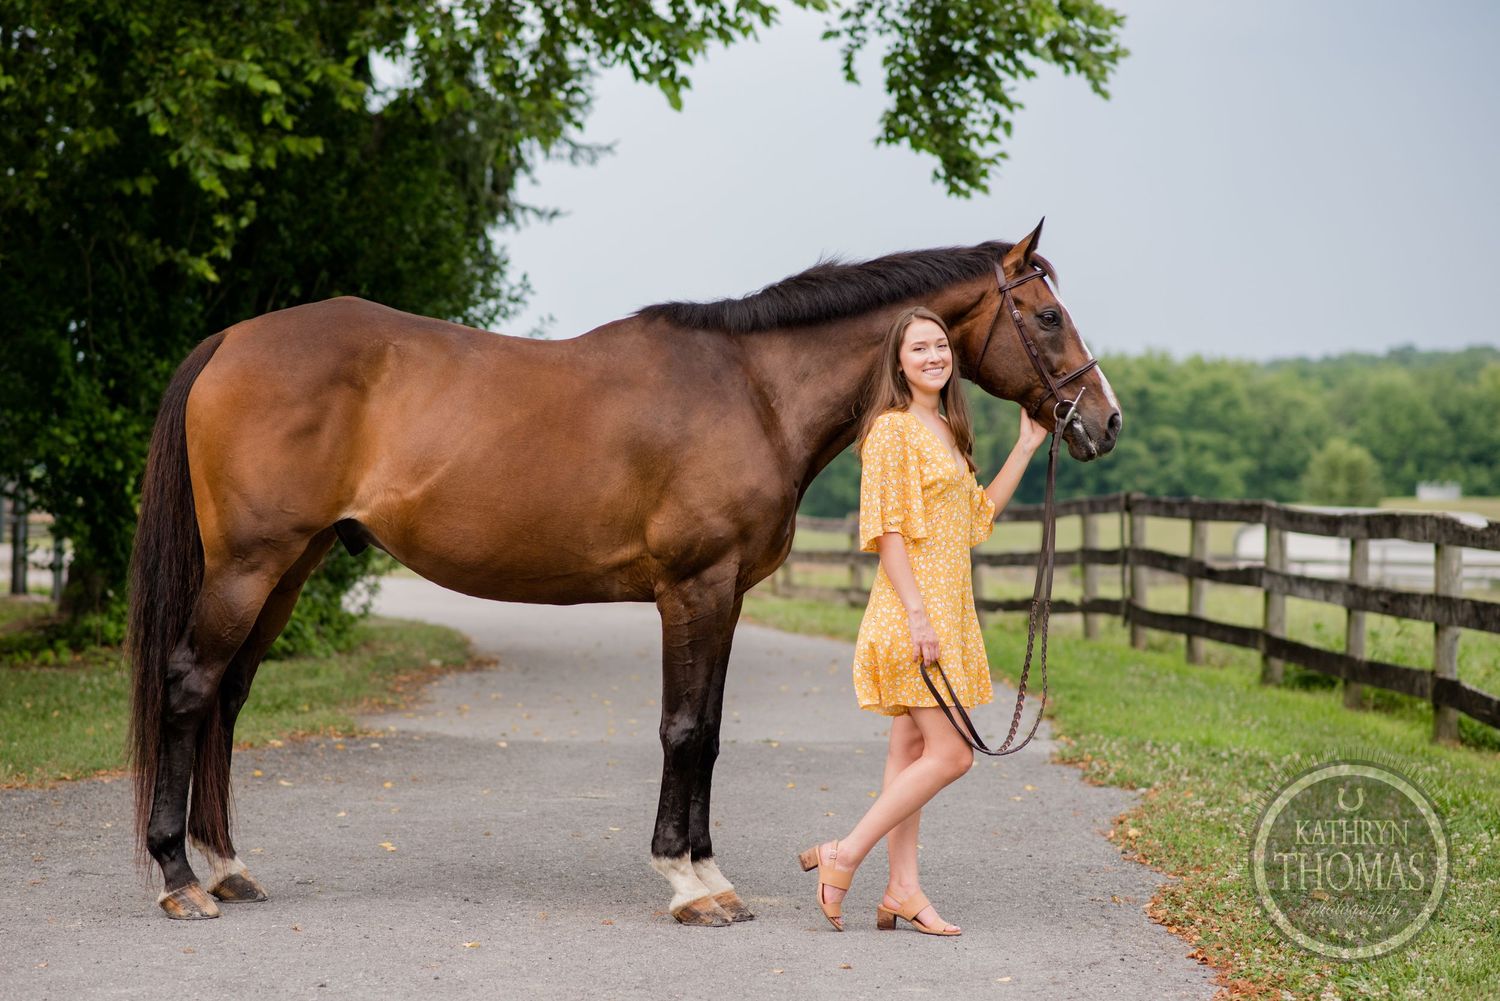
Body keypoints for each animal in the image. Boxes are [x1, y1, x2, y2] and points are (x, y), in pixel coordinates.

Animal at [126, 220, 1121, 923]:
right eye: (1045, 315)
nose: (1102, 421)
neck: (754, 392)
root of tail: (230, 340)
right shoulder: (694, 588)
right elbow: (684, 728)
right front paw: (687, 882)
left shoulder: (726, 596)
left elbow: (709, 729)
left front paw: (709, 868)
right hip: (248, 565)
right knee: (190, 684)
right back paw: (178, 876)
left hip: (289, 567)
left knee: (228, 696)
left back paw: (228, 865)